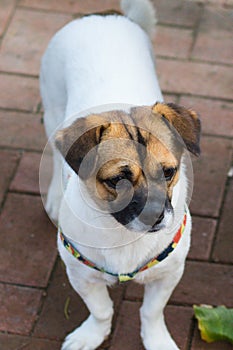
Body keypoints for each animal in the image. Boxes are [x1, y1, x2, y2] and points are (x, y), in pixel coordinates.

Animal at [40, 0, 200, 350]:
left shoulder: (169, 274)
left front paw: (156, 340)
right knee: (56, 157)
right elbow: (101, 310)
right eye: (117, 179)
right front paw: (91, 335)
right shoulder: (80, 273)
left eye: (169, 172)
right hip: (52, 110)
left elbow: (151, 312)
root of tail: (103, 14)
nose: (156, 217)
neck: (124, 235)